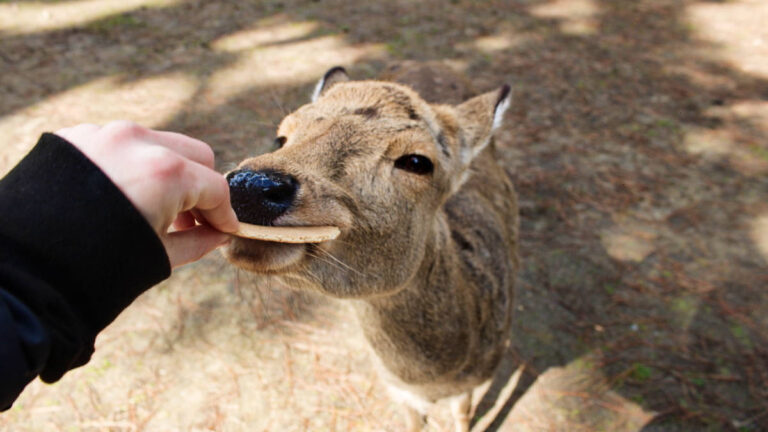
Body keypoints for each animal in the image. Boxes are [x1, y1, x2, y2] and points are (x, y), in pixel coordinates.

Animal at [223, 62, 519, 431]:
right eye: (282, 136)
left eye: (418, 161)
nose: (250, 185)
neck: (435, 381)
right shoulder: (395, 388)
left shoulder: (476, 382)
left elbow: (464, 418)